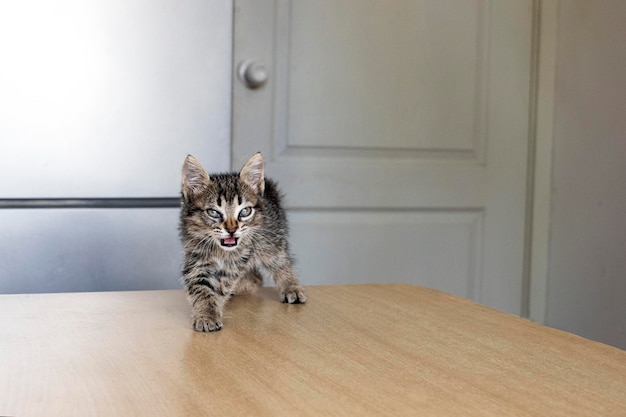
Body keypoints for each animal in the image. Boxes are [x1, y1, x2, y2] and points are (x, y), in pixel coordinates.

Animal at [178, 153, 304, 332]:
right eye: (213, 212)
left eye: (245, 211)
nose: (232, 230)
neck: (221, 250)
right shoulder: (196, 259)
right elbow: (201, 288)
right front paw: (206, 314)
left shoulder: (236, 262)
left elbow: (220, 286)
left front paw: (212, 308)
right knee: (256, 278)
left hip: (271, 242)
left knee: (280, 262)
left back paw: (290, 286)